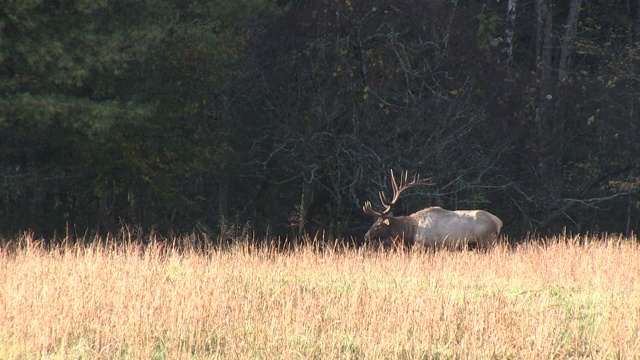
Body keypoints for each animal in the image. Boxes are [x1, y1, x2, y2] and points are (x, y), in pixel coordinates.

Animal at [362, 170, 502, 249]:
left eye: (378, 225)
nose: (365, 236)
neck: (410, 231)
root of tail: (498, 222)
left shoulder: (426, 245)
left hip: (486, 240)